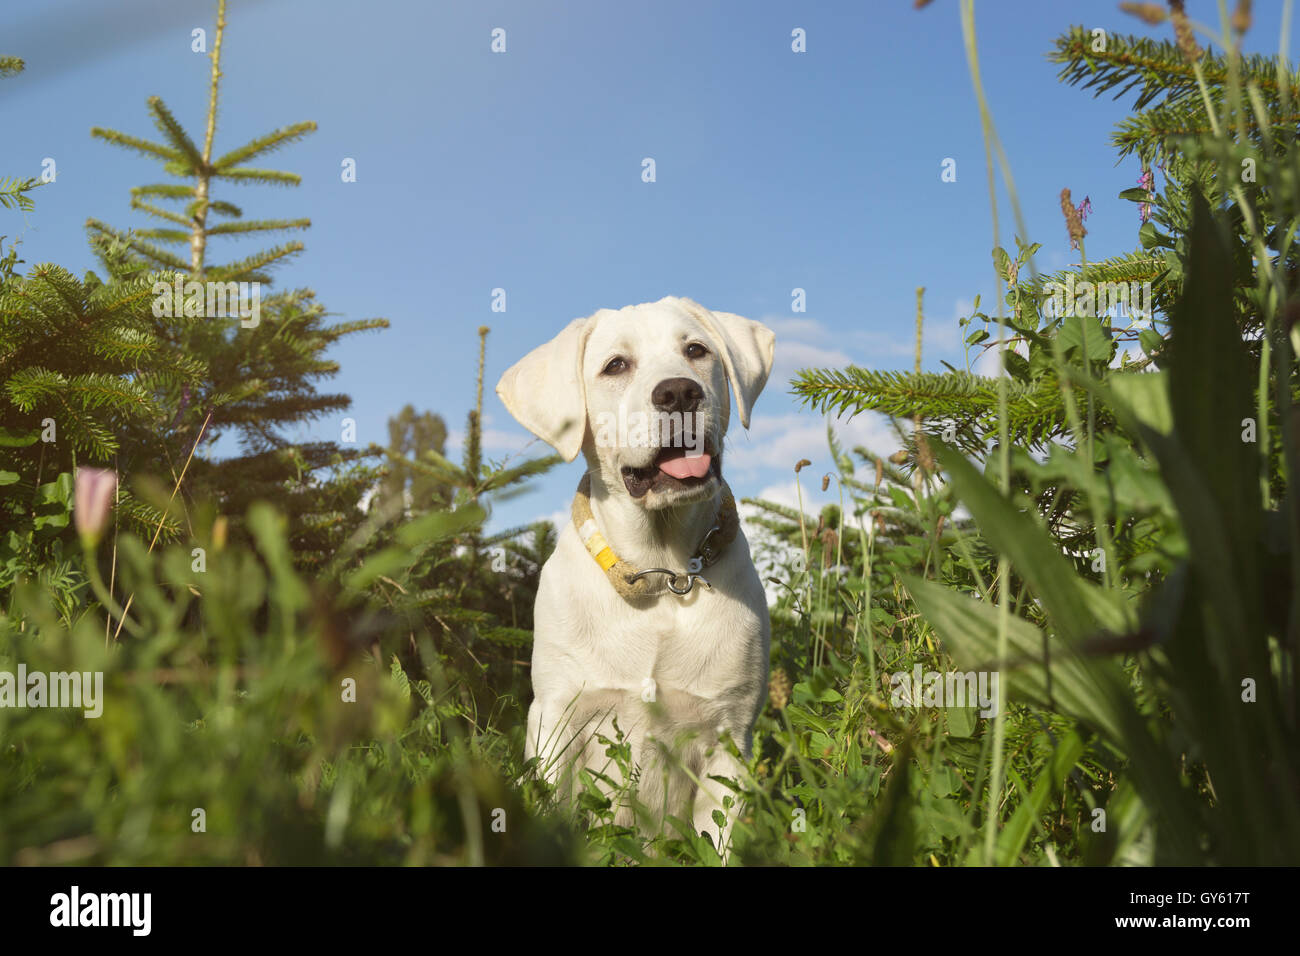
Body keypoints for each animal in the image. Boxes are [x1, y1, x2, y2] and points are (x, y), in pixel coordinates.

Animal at [496, 293, 769, 853]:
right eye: (615, 365)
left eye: (697, 350)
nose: (679, 391)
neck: (661, 572)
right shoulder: (557, 720)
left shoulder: (730, 739)